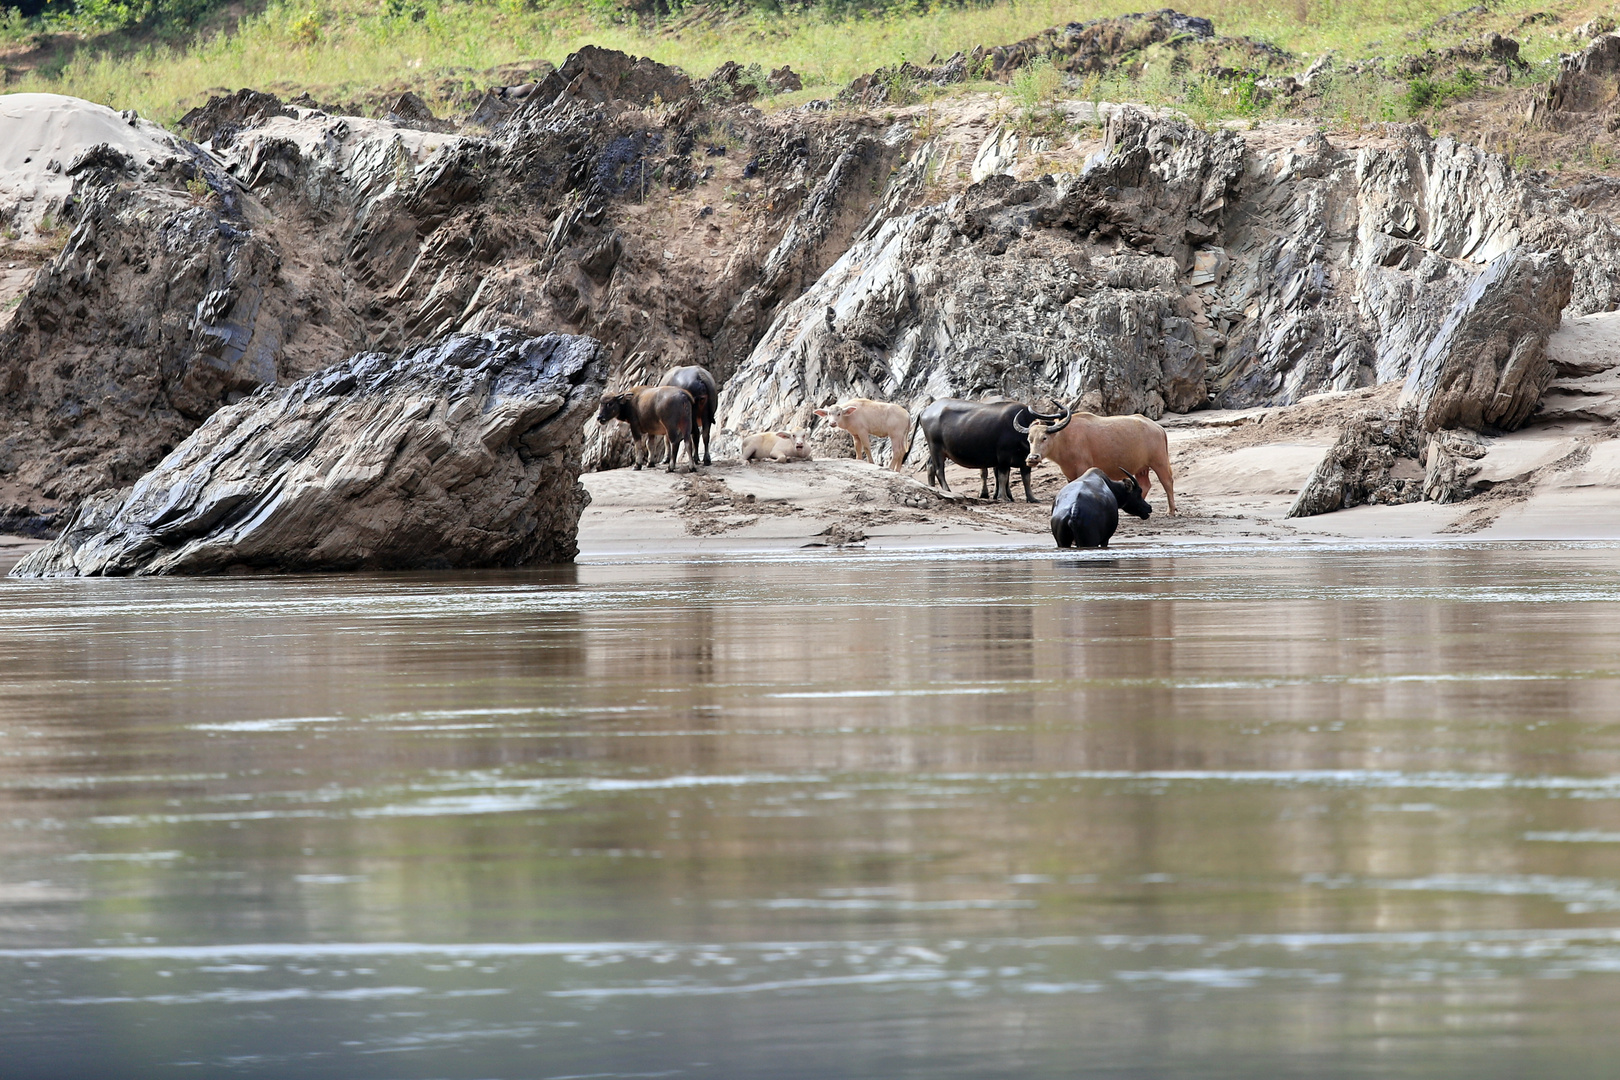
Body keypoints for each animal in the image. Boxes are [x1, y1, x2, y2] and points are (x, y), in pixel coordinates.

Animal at [920, 396, 1069, 501]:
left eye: (1044, 436)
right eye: (1030, 436)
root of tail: (926, 411)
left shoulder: (1025, 460)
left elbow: (1026, 478)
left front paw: (1031, 498)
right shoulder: (1003, 457)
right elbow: (1003, 476)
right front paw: (1003, 497)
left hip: (935, 450)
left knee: (930, 465)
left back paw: (932, 488)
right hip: (936, 448)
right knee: (939, 470)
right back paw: (948, 491)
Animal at [1010, 404, 1179, 514]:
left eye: (1044, 438)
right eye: (1030, 439)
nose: (1032, 458)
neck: (1064, 438)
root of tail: (1158, 428)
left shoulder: (1082, 469)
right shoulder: (1069, 474)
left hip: (1159, 462)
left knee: (1167, 482)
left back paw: (1170, 511)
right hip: (1141, 468)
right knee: (1145, 484)